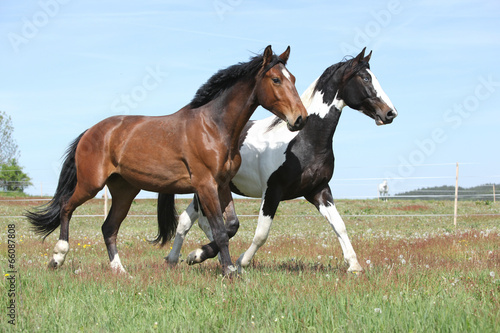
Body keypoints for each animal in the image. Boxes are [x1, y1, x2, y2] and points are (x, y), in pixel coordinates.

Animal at [27, 45, 310, 276]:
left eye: (293, 79)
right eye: (276, 79)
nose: (300, 118)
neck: (214, 127)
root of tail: (90, 131)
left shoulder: (222, 185)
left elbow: (231, 226)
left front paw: (197, 256)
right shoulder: (205, 185)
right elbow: (220, 230)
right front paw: (228, 270)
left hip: (124, 190)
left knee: (108, 228)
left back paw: (120, 271)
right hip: (90, 184)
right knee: (66, 207)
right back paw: (57, 257)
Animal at [164, 48, 398, 272]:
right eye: (365, 78)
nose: (390, 113)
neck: (302, 140)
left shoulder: (318, 190)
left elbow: (339, 225)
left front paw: (354, 265)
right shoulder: (272, 191)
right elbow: (261, 233)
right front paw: (240, 262)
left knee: (188, 220)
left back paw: (179, 258)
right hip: (206, 189)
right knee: (201, 223)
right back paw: (198, 256)